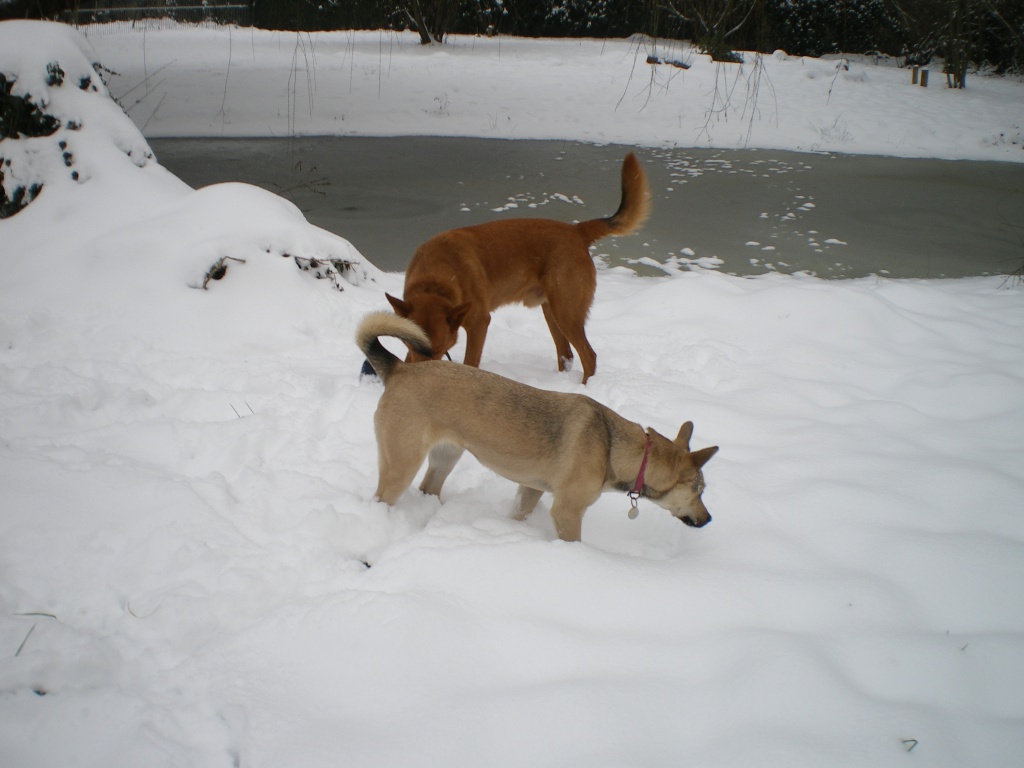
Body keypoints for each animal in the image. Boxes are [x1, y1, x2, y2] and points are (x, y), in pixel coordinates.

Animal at [356, 311, 716, 540]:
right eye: (698, 491)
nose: (708, 519)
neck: (614, 447)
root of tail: (399, 369)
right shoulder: (567, 512)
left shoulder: (531, 489)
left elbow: (518, 512)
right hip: (401, 463)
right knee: (383, 495)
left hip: (446, 456)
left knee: (429, 488)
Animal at [385, 153, 647, 385]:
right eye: (410, 344)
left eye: (439, 348)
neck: (435, 279)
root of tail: (576, 231)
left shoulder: (479, 322)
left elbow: (470, 363)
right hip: (552, 311)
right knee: (567, 355)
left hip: (567, 313)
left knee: (589, 356)